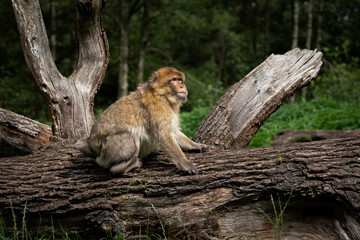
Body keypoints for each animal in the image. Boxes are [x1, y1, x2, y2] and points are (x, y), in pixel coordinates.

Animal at [77, 67, 210, 174]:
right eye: (174, 80)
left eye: (180, 80)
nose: (182, 86)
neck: (163, 96)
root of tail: (91, 143)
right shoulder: (157, 108)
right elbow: (163, 135)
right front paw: (186, 165)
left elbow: (172, 131)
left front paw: (195, 145)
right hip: (107, 151)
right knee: (130, 137)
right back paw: (126, 167)